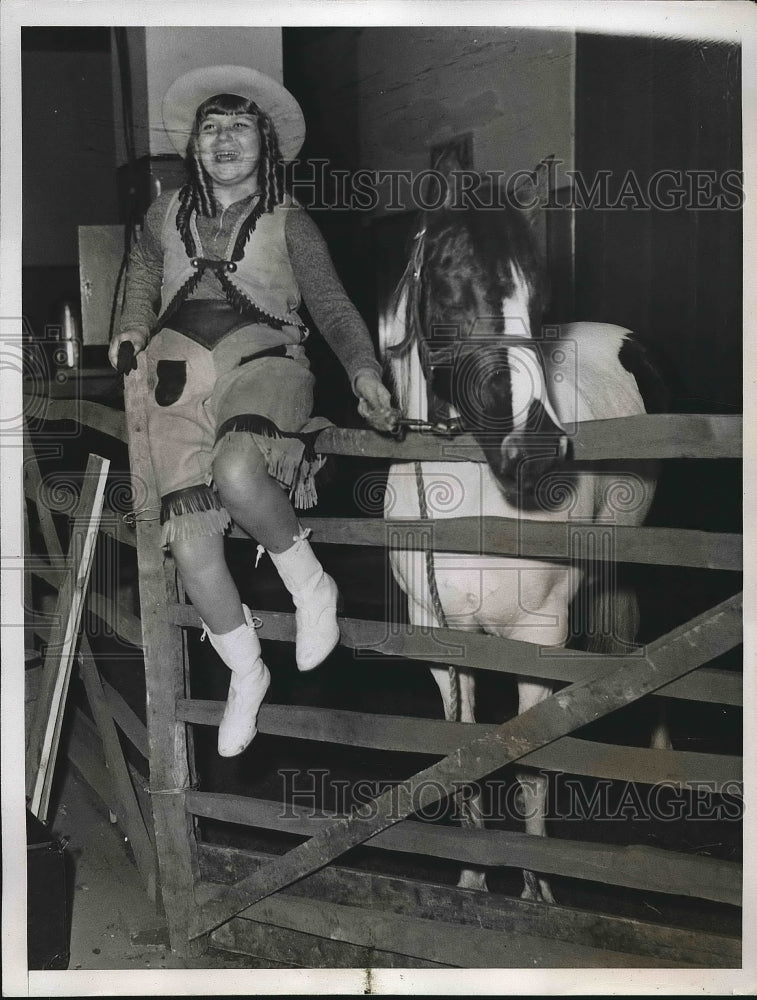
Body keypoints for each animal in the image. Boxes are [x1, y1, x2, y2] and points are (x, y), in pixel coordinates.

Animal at [380, 154, 664, 900]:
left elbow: (531, 760)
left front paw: (536, 890)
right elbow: (463, 753)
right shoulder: (443, 640)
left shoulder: (536, 638)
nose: (535, 452)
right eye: (449, 284)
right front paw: (473, 876)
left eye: (538, 303)